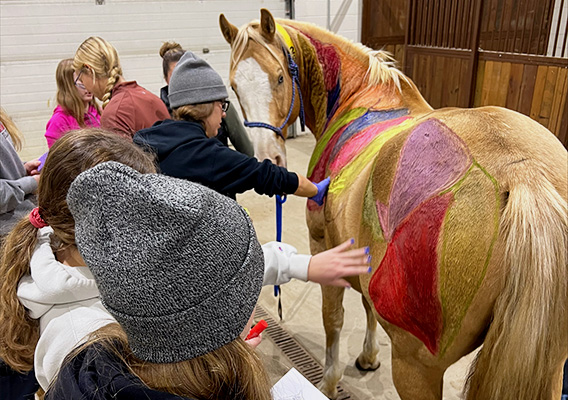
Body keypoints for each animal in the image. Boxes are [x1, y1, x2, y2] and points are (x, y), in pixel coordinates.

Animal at [219, 9, 568, 400]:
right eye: (234, 86)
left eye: (279, 77)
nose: (269, 160)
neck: (360, 99)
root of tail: (522, 171)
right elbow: (367, 307)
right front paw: (369, 356)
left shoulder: (322, 245)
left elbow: (333, 318)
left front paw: (329, 381)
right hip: (551, 369)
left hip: (414, 368)